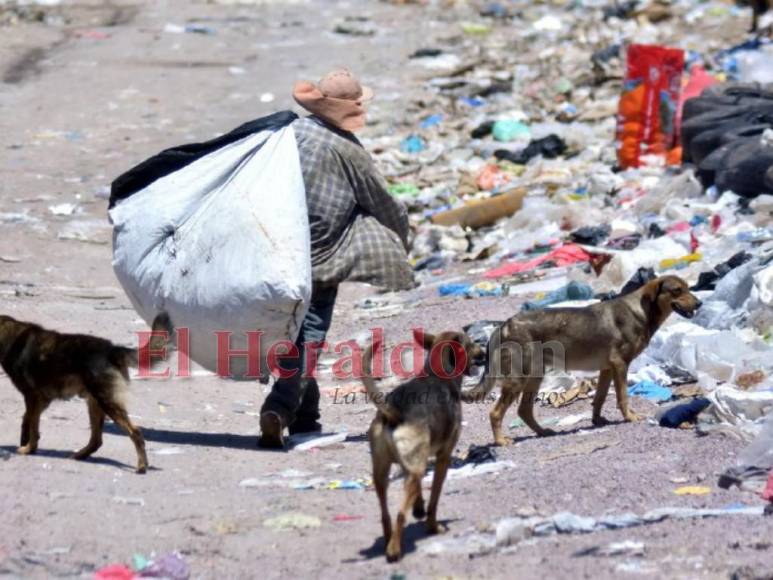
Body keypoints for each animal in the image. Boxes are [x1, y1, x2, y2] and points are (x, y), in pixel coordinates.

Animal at [0, 312, 170, 472]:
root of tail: (112, 349)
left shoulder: (32, 397)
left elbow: (32, 425)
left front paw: (28, 448)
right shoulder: (41, 400)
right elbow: (27, 419)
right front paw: (26, 442)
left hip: (107, 403)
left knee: (135, 432)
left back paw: (141, 466)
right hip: (95, 404)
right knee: (96, 440)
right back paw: (80, 455)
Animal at [362, 330, 482, 560]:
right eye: (471, 344)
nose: (483, 352)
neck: (437, 373)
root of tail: (394, 411)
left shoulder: (412, 463)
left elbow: (418, 490)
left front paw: (418, 508)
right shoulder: (443, 457)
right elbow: (434, 497)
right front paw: (432, 526)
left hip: (381, 471)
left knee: (386, 513)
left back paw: (388, 539)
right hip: (413, 466)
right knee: (400, 513)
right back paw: (394, 550)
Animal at [462, 276, 704, 444]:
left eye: (689, 287)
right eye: (677, 290)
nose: (700, 303)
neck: (642, 311)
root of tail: (503, 325)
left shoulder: (607, 368)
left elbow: (599, 398)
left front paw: (597, 420)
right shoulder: (620, 364)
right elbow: (623, 397)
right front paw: (630, 417)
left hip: (534, 376)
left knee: (524, 411)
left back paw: (543, 432)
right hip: (518, 379)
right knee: (495, 413)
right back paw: (500, 441)